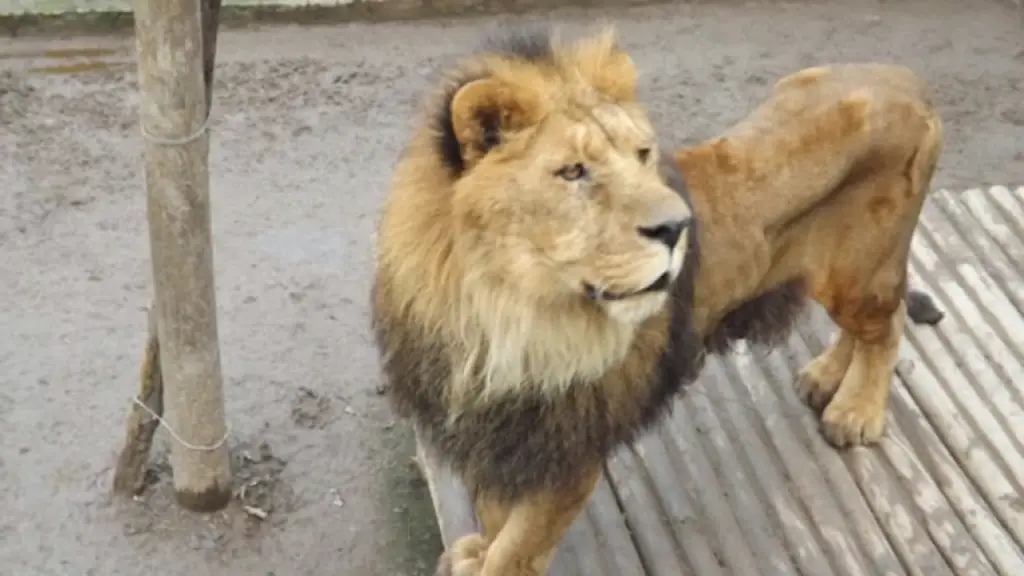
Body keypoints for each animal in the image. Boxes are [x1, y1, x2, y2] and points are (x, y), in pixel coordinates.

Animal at [368, 24, 942, 569]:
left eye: (642, 155)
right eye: (573, 171)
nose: (679, 226)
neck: (500, 315)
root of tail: (905, 80)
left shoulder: (568, 457)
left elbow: (516, 549)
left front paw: (495, 558)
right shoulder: (495, 436)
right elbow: (493, 516)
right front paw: (477, 550)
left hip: (860, 273)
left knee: (887, 327)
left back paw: (855, 411)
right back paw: (824, 376)